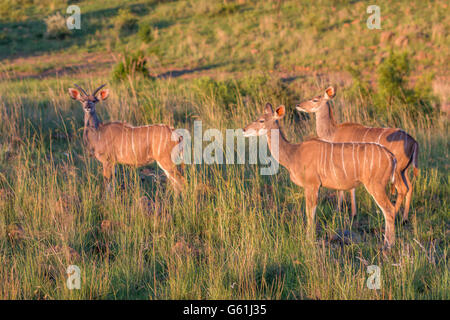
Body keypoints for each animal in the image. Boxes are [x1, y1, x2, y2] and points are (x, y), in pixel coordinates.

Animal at [244, 104, 406, 249]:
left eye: (261, 120)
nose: (244, 129)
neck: (294, 154)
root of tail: (391, 157)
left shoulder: (312, 185)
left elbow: (310, 212)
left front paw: (308, 241)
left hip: (375, 185)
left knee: (389, 210)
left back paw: (388, 245)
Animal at [298, 86, 420, 224]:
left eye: (314, 99)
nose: (298, 105)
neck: (333, 132)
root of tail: (414, 141)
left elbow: (345, 188)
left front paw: (347, 212)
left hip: (398, 170)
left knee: (403, 189)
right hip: (404, 170)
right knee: (410, 187)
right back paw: (404, 218)